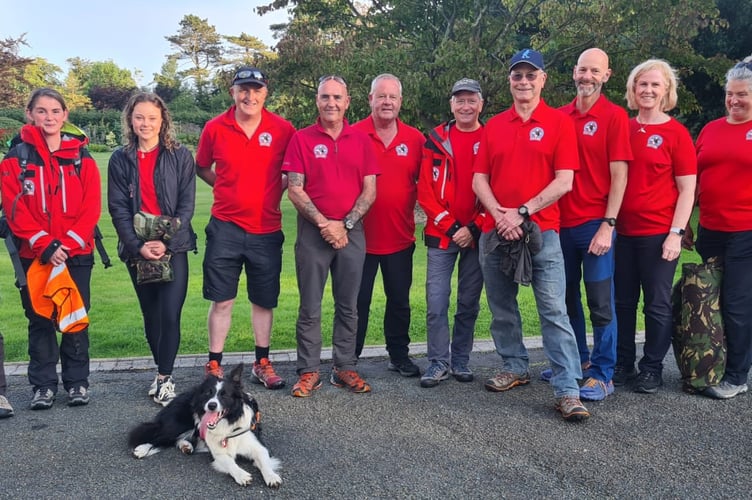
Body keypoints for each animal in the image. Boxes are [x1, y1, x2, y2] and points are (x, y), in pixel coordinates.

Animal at [129, 364, 282, 488]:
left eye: (224, 395)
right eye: (209, 393)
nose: (211, 405)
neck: (229, 423)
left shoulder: (258, 446)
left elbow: (264, 462)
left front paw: (272, 476)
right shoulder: (218, 454)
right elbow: (230, 463)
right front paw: (242, 475)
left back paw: (186, 445)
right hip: (178, 425)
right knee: (159, 437)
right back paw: (142, 449)